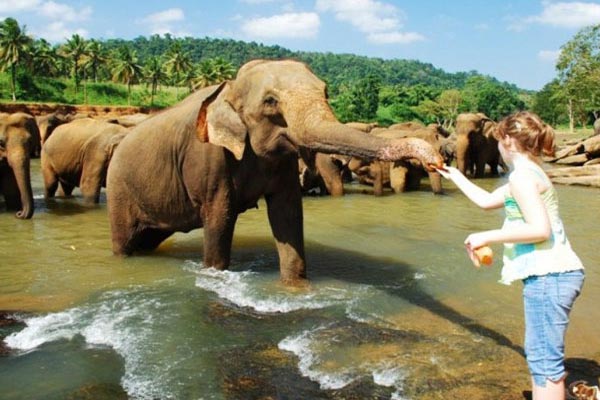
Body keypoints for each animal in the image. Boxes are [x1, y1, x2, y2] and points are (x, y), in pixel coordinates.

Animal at [106, 59, 444, 285]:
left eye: (326, 92)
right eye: (270, 102)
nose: (437, 159)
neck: (229, 85)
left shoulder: (283, 162)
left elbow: (287, 215)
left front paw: (295, 287)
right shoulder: (210, 159)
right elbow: (219, 218)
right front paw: (215, 274)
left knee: (147, 239)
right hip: (119, 190)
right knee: (125, 243)